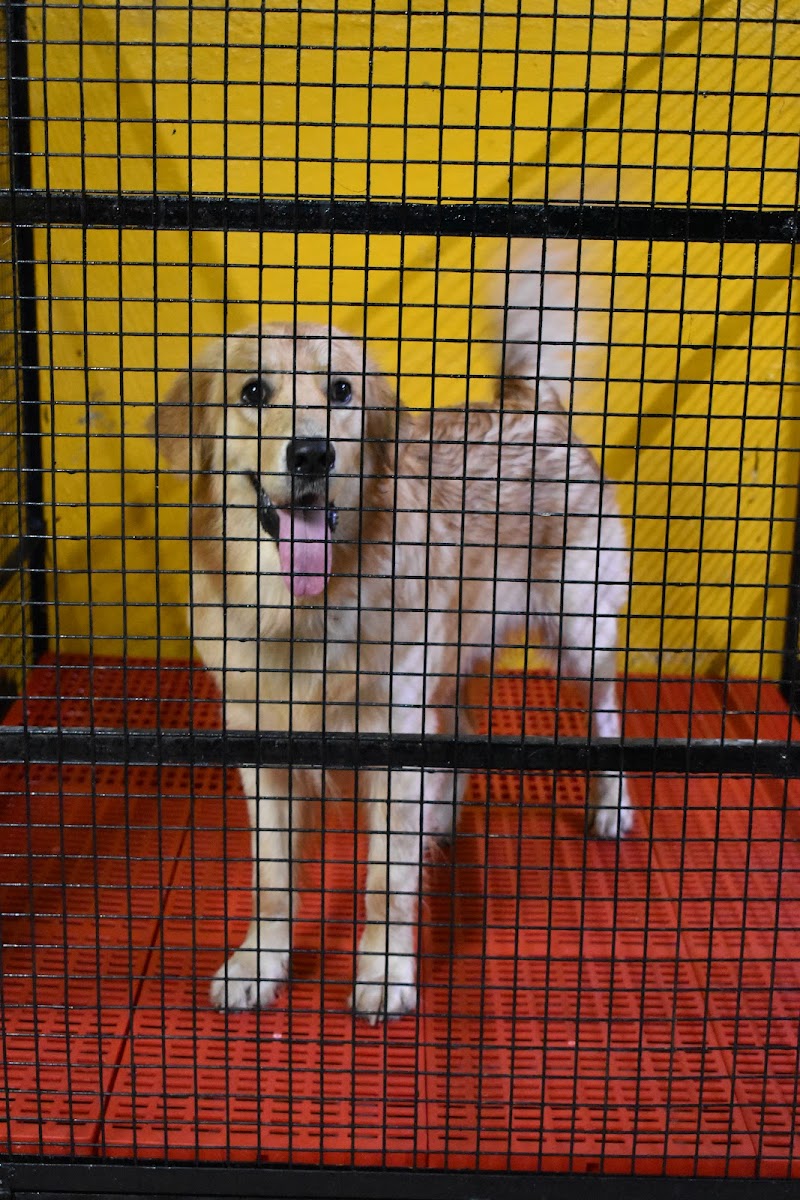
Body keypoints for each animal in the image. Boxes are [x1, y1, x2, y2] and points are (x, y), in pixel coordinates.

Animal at [152, 241, 631, 1023]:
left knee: (607, 714)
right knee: (460, 723)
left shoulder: (391, 732)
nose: (311, 453)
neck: (302, 610)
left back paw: (610, 806)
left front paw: (383, 969)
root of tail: (526, 402)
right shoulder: (260, 749)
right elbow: (274, 879)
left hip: (576, 631)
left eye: (342, 390)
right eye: (253, 392)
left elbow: (385, 877)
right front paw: (260, 960)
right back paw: (441, 813)